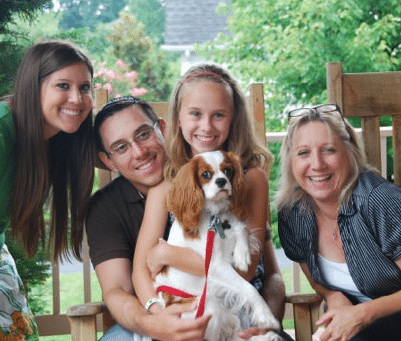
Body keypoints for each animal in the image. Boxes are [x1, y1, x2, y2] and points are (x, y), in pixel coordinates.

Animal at [153, 150, 282, 340]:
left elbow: (241, 227)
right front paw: (266, 316)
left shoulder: (231, 224)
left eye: (227, 170)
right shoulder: (215, 265)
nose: (221, 181)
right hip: (209, 308)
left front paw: (241, 255)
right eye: (206, 174)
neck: (214, 217)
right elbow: (250, 289)